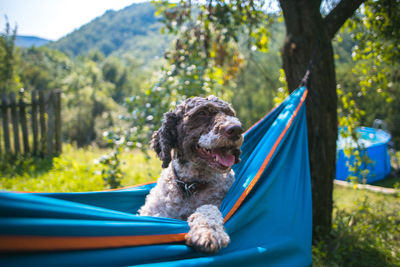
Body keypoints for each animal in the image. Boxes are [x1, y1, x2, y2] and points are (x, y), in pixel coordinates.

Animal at [138, 96, 244, 253]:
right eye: (201, 113)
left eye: (230, 113)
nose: (236, 129)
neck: (189, 186)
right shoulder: (153, 211)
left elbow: (208, 209)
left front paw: (209, 232)